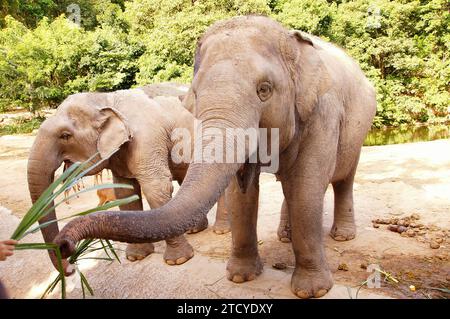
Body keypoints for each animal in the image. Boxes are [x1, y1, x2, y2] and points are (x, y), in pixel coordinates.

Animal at [26, 84, 230, 276]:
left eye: (65, 136)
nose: (71, 267)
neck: (105, 98)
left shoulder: (147, 140)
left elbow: (156, 187)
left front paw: (178, 260)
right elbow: (124, 191)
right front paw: (136, 257)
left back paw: (221, 231)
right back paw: (194, 230)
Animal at [52, 15, 376, 300]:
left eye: (264, 90)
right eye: (195, 94)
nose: (64, 247)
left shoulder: (323, 112)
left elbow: (307, 186)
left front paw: (312, 291)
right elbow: (242, 191)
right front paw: (241, 277)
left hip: (357, 132)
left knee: (342, 178)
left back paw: (342, 237)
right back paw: (285, 236)